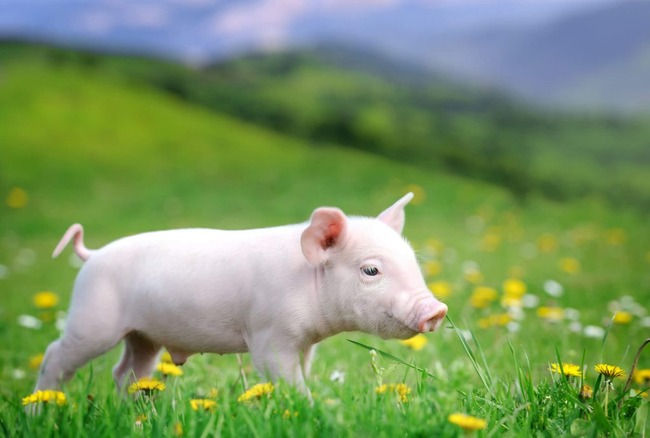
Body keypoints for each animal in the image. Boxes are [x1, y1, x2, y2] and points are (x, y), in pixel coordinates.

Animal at [35, 193, 447, 396]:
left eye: (413, 262)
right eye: (371, 270)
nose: (437, 309)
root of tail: (93, 255)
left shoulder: (304, 343)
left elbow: (303, 372)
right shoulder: (269, 335)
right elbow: (285, 379)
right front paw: (305, 407)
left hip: (143, 336)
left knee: (127, 372)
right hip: (93, 319)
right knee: (55, 356)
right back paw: (39, 410)